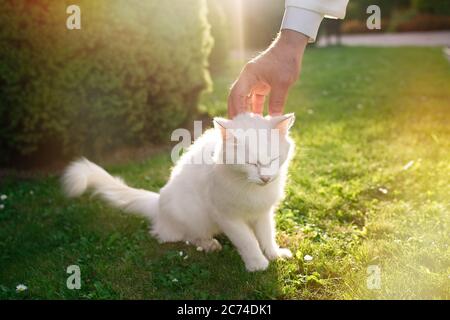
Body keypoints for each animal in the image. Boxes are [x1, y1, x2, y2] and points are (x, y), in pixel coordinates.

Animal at [62, 112, 296, 270]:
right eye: (251, 163)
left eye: (273, 160)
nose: (265, 178)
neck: (249, 187)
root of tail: (158, 203)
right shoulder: (227, 216)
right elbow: (248, 241)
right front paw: (257, 263)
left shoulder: (263, 212)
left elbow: (266, 235)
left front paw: (274, 254)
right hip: (195, 216)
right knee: (182, 236)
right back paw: (209, 244)